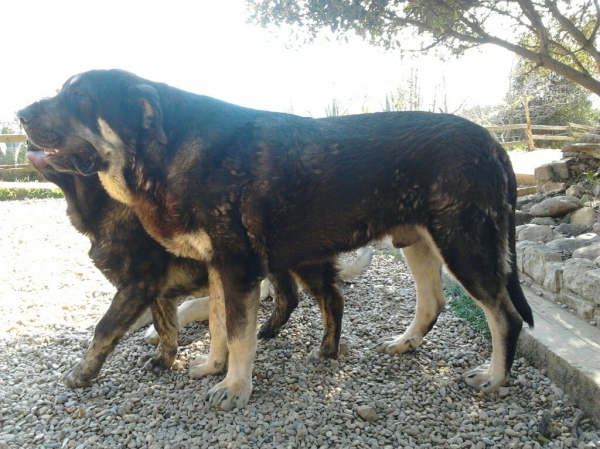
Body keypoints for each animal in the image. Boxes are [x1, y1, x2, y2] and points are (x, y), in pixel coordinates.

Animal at [18, 70, 536, 410]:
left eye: (80, 97)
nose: (20, 113)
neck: (169, 151)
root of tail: (494, 143)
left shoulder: (238, 266)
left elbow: (239, 332)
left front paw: (235, 387)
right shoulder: (218, 268)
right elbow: (219, 325)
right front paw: (214, 365)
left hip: (465, 246)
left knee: (504, 317)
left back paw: (495, 377)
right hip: (420, 244)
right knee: (432, 303)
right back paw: (406, 344)